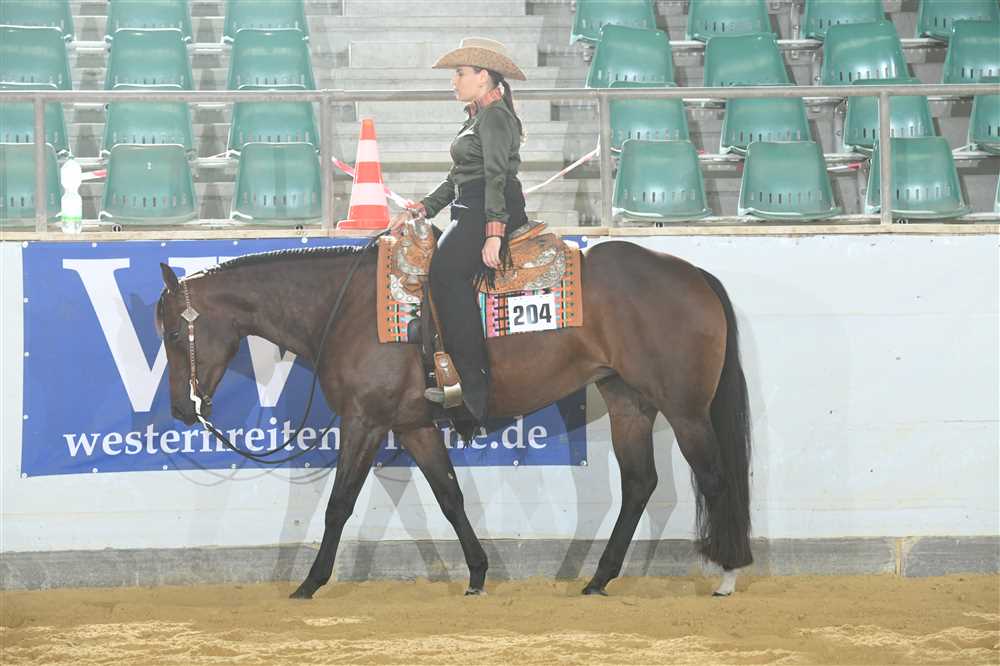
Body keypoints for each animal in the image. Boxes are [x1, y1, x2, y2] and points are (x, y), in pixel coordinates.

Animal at [155, 238, 753, 599]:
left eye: (173, 331)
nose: (183, 409)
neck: (345, 308)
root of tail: (692, 273)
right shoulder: (413, 426)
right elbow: (449, 497)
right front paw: (478, 574)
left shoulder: (365, 421)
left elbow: (340, 504)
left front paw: (310, 583)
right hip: (629, 399)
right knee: (640, 484)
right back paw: (598, 580)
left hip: (685, 408)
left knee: (715, 478)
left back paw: (726, 575)